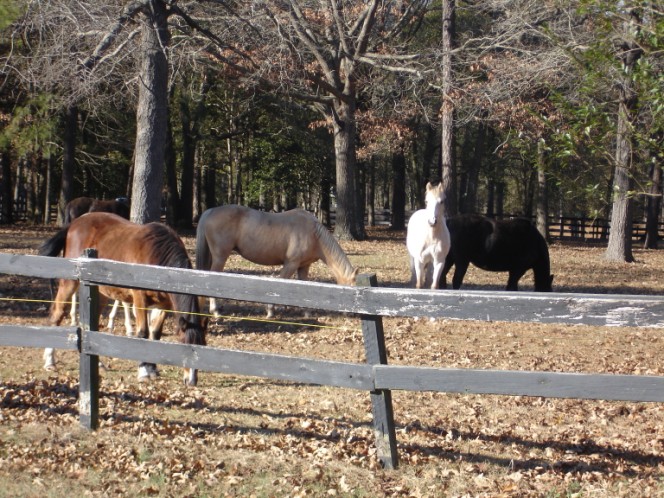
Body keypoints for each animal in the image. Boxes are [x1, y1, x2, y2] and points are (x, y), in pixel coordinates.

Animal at [39, 212, 205, 388]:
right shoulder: (140, 299)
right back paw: (50, 361)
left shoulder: (163, 305)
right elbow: (143, 333)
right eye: (185, 345)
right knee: (57, 313)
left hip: (100, 293)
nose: (191, 381)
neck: (157, 257)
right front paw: (143, 372)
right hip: (69, 283)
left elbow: (155, 334)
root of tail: (74, 224)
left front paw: (152, 369)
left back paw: (98, 363)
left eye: (203, 344)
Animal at [195, 204, 358, 318]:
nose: (354, 314)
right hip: (220, 257)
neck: (313, 234)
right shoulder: (290, 264)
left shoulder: (303, 266)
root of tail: (211, 211)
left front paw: (307, 313)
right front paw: (270, 311)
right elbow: (280, 282)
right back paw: (216, 311)